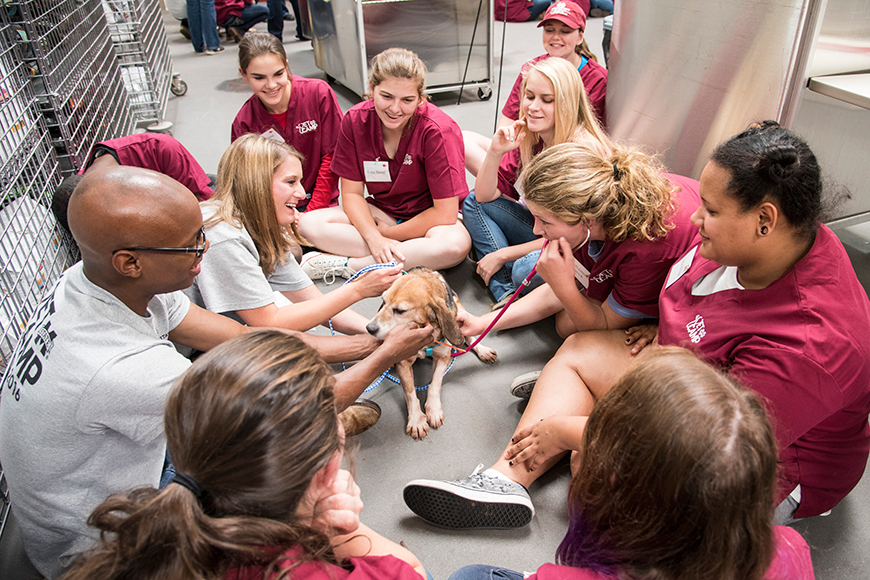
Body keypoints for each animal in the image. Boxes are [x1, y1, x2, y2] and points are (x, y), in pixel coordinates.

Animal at [364, 268, 498, 440]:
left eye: (400, 311)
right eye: (383, 301)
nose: (369, 328)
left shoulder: (443, 358)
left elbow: (434, 384)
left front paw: (433, 410)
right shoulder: (403, 361)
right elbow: (410, 393)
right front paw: (416, 419)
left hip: (460, 310)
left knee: (469, 336)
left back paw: (483, 350)